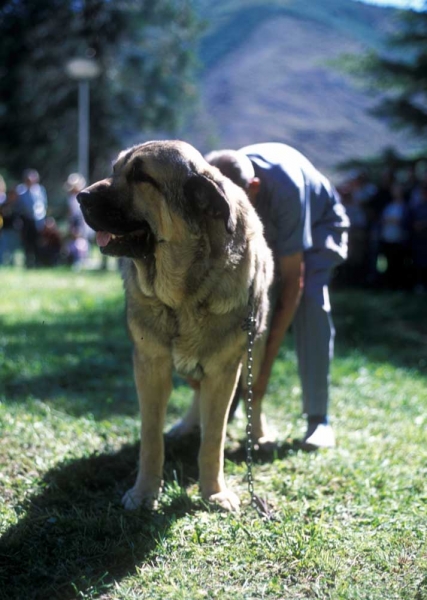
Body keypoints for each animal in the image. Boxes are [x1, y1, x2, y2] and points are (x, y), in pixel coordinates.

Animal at [77, 141, 274, 510]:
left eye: (141, 176)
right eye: (115, 169)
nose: (80, 196)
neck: (183, 296)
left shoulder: (225, 370)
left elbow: (215, 437)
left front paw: (214, 492)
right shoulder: (150, 366)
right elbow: (151, 438)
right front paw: (144, 492)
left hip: (257, 348)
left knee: (255, 393)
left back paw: (258, 434)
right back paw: (187, 426)